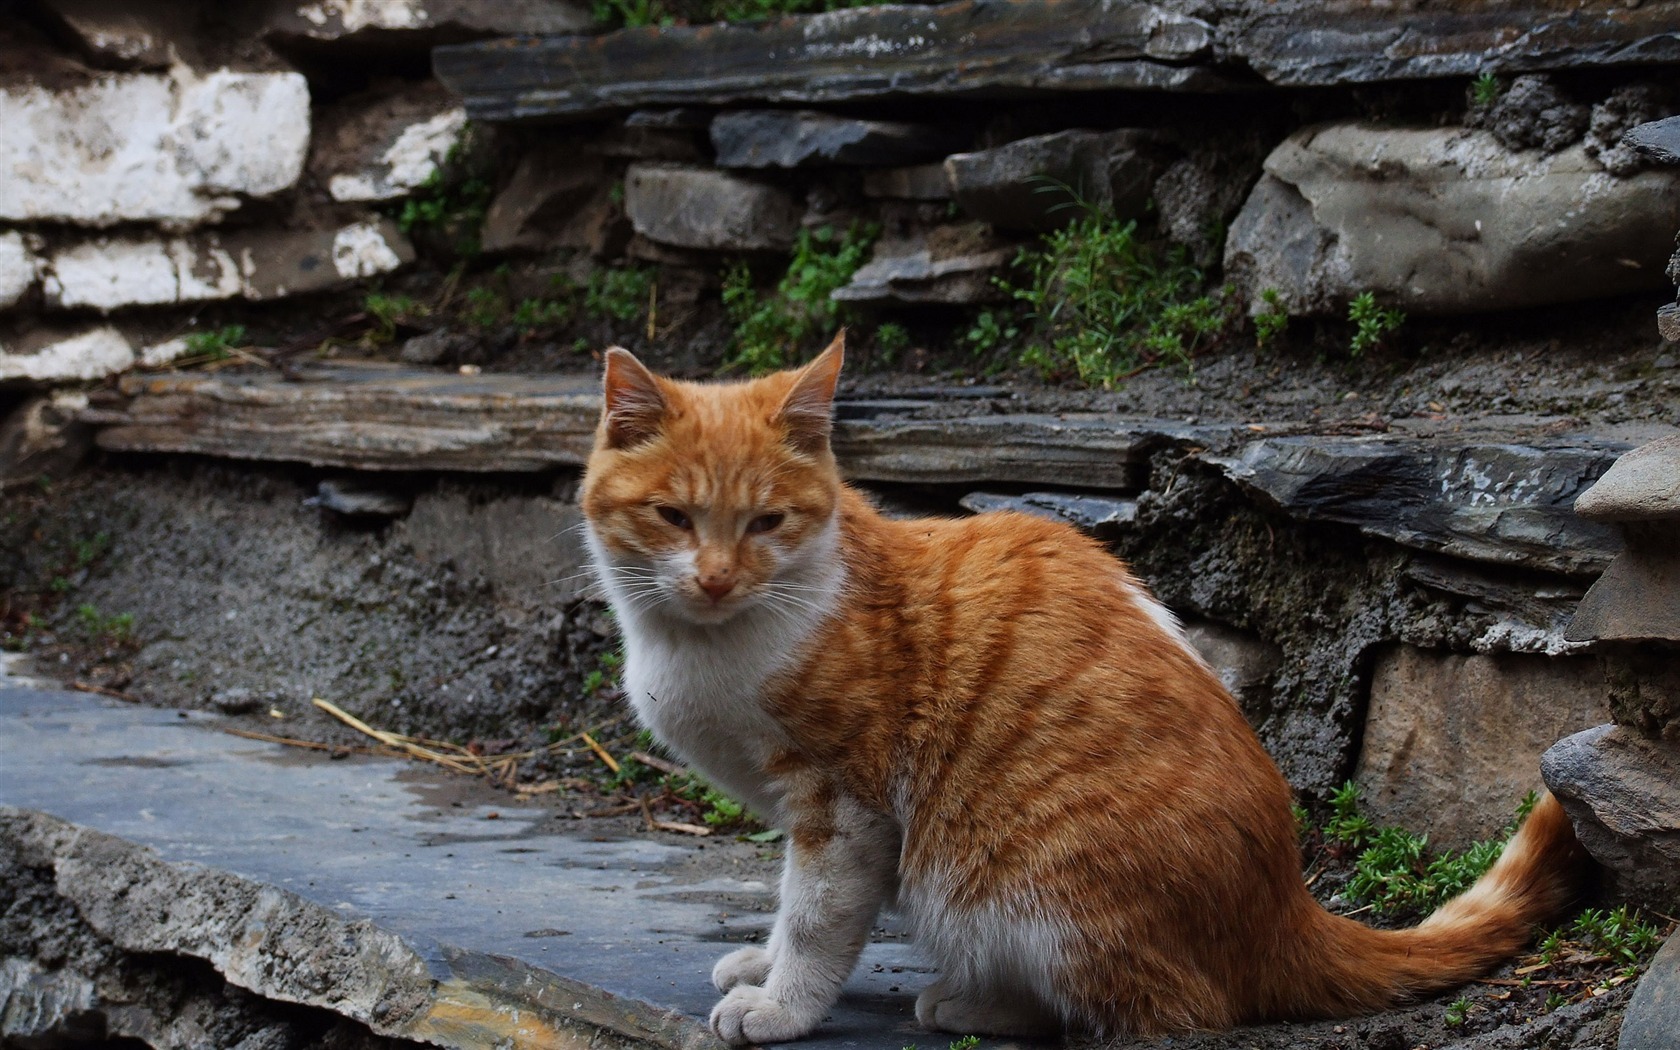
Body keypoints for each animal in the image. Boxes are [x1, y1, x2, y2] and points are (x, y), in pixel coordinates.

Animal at [584, 334, 1592, 1041]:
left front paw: (780, 1003)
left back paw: (975, 1005)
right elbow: (787, 904)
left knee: (1165, 1007)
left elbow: (815, 919)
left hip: (1019, 888)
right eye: (673, 517)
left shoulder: (844, 807)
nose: (716, 578)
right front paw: (758, 965)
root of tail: (1287, 906)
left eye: (767, 522)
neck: (700, 644)